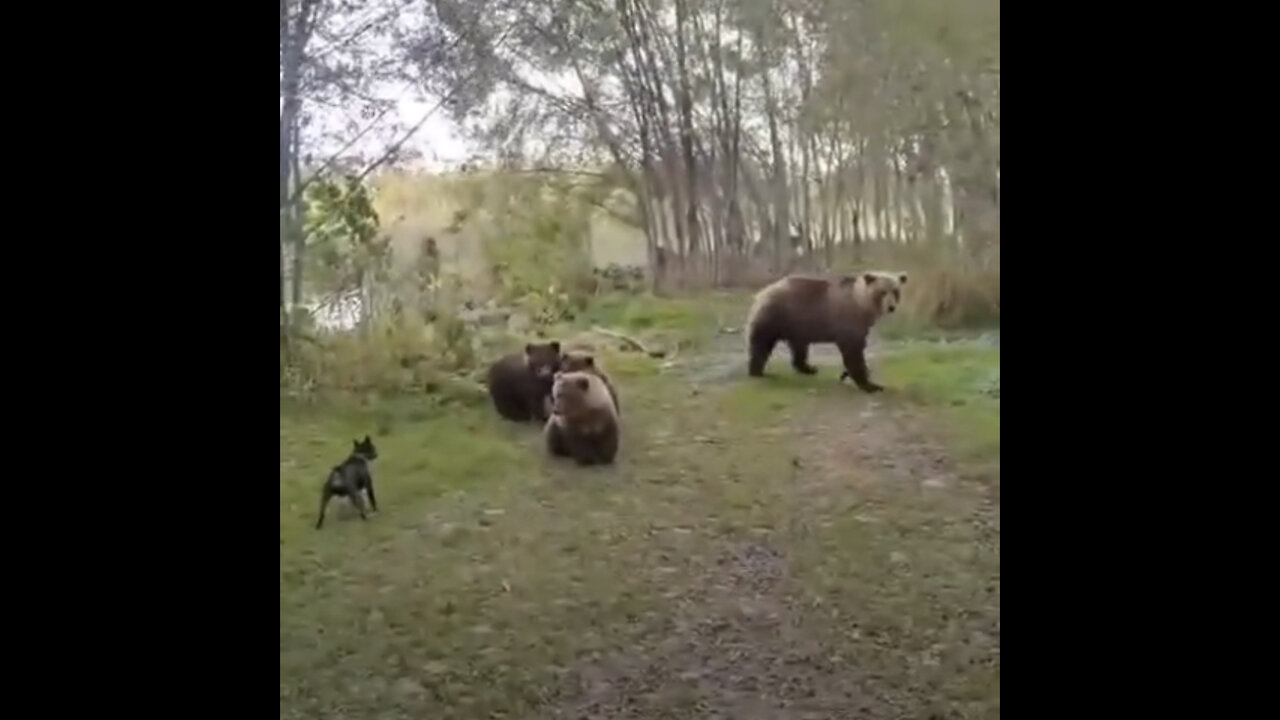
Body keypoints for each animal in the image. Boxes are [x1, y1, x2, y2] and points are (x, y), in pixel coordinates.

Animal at [744, 271, 906, 393]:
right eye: (882, 292)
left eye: (896, 291)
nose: (891, 307)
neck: (862, 306)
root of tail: (761, 293)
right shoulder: (848, 320)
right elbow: (853, 351)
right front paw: (870, 385)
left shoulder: (861, 326)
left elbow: (858, 348)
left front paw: (849, 374)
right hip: (775, 316)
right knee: (761, 344)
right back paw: (757, 372)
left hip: (798, 325)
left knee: (799, 348)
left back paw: (809, 368)